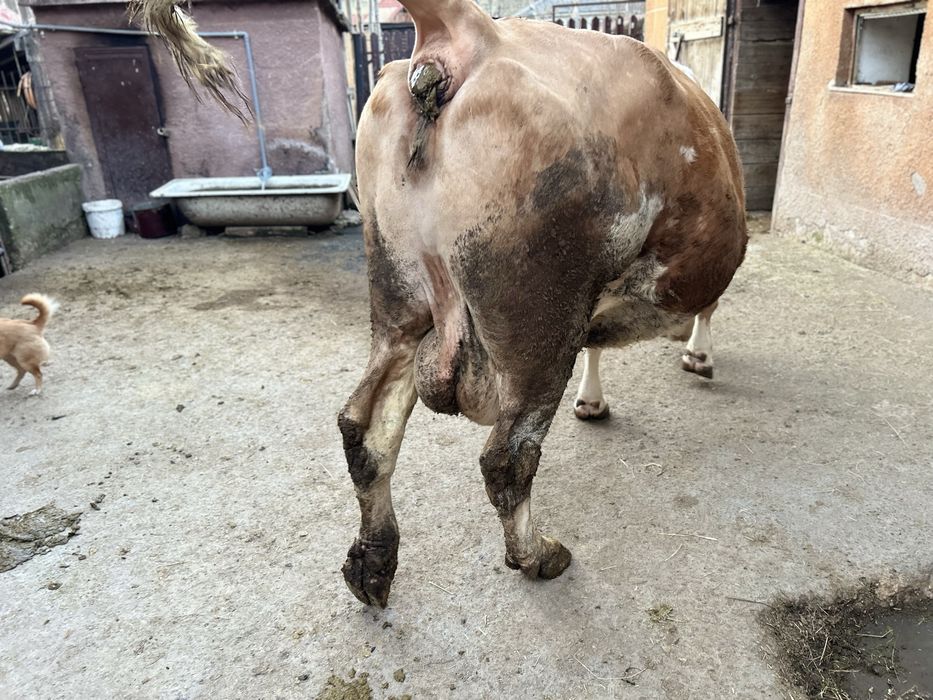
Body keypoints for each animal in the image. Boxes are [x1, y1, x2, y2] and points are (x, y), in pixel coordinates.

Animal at [136, 0, 747, 607]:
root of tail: (473, 31)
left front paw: (593, 399)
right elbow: (702, 311)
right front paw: (696, 358)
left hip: (401, 303)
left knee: (364, 427)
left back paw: (372, 564)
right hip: (540, 321)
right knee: (508, 457)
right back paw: (538, 556)